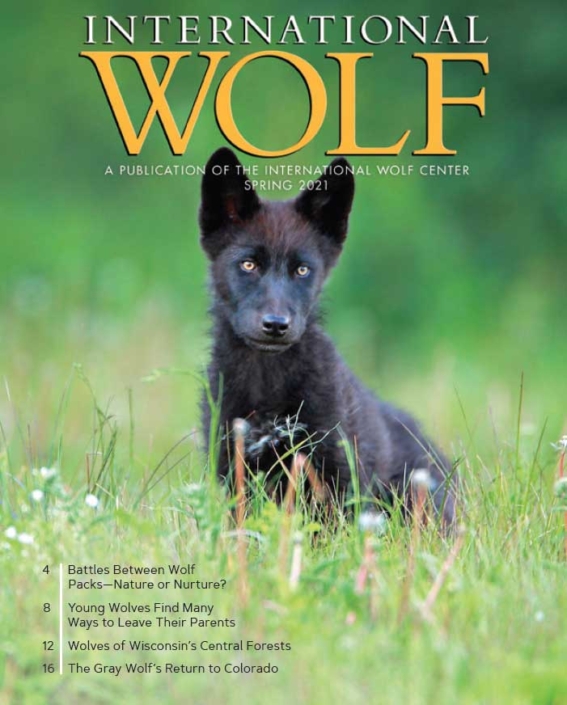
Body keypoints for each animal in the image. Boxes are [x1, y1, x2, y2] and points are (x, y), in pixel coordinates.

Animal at [199, 147, 455, 526]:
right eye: (248, 265)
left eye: (302, 270)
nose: (276, 325)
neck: (267, 380)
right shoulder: (232, 466)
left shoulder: (336, 470)